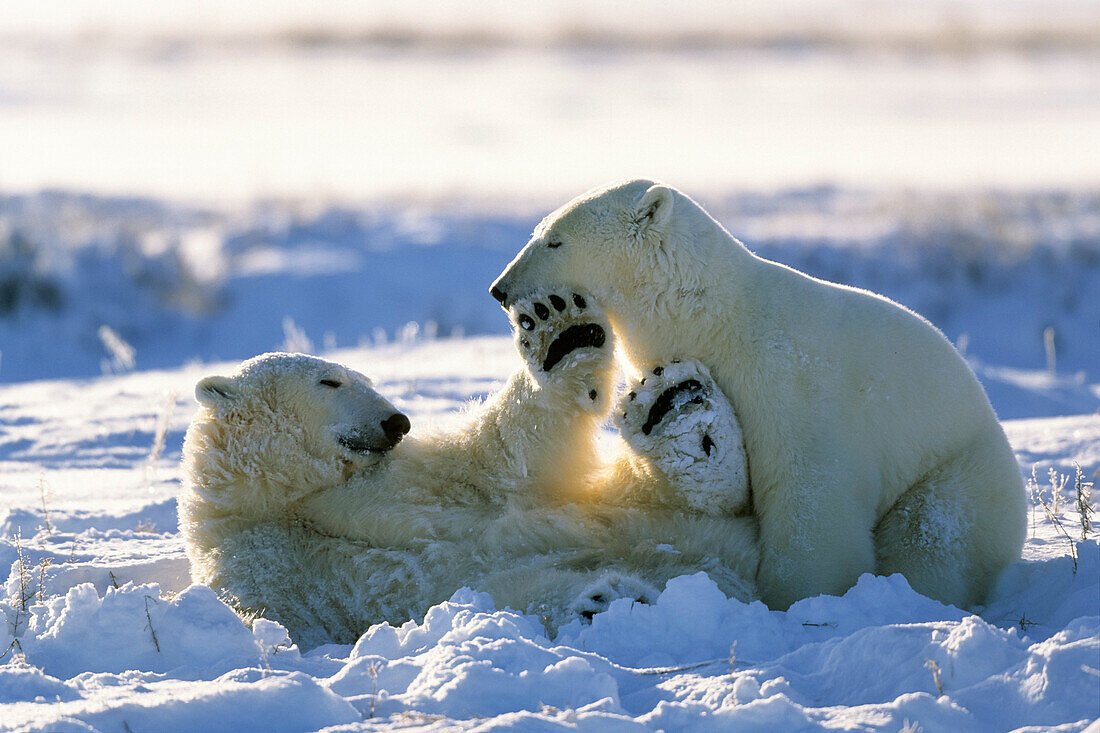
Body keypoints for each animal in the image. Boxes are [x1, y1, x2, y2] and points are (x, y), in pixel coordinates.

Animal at [180, 290, 761, 647]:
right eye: (329, 381)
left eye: (361, 377)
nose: (397, 421)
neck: (290, 496)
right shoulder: (265, 565)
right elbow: (294, 622)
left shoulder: (416, 476)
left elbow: (507, 456)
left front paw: (562, 333)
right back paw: (609, 598)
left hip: (643, 509)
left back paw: (680, 418)